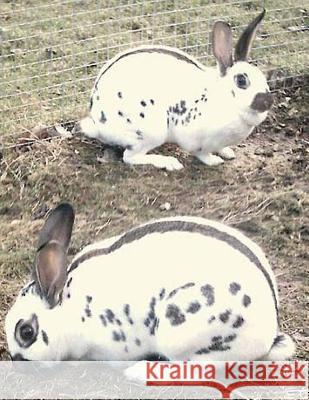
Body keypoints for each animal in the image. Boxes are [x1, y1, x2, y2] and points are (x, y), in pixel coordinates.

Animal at [79, 9, 272, 169]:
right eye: (241, 80)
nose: (268, 101)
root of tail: (97, 123)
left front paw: (227, 153)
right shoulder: (195, 140)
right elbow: (202, 154)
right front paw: (214, 161)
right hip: (150, 132)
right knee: (130, 157)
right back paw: (170, 163)